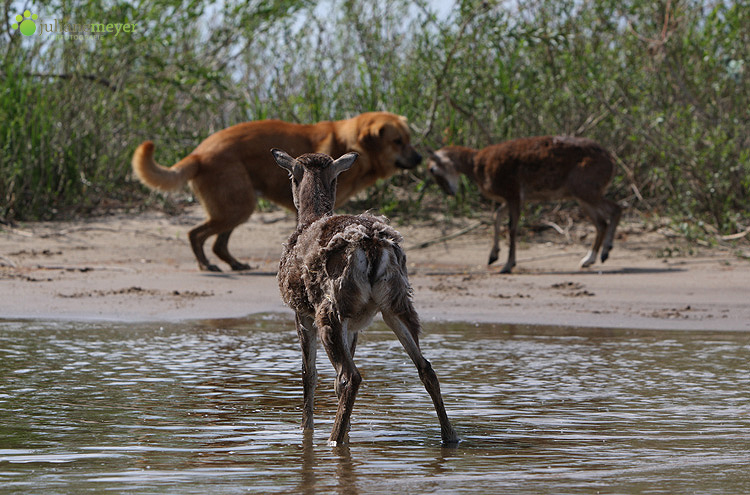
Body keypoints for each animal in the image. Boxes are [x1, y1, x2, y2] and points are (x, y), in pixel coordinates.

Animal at [134, 112, 424, 272]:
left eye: (409, 140)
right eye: (398, 141)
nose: (421, 158)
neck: (349, 143)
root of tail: (197, 153)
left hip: (237, 207)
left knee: (218, 243)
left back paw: (235, 264)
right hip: (237, 207)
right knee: (196, 234)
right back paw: (206, 265)